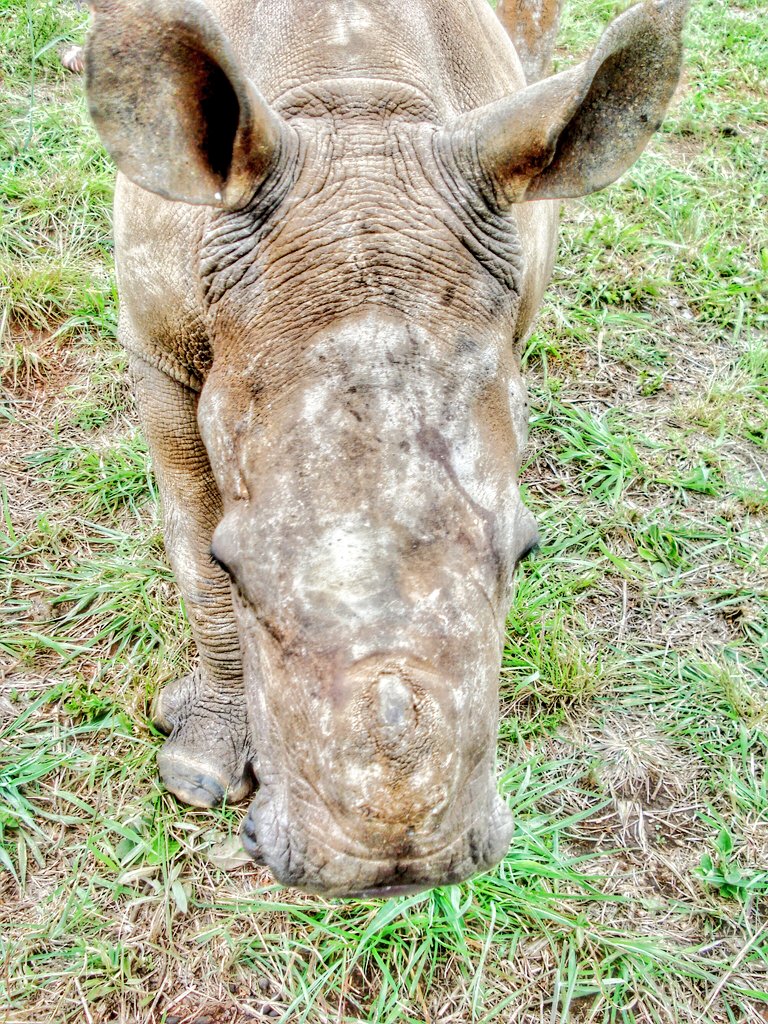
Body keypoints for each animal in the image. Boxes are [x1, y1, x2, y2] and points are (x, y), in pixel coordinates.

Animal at [84, 0, 686, 896]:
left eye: (528, 552)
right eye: (239, 568)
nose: (394, 867)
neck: (356, 117)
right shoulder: (155, 341)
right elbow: (190, 546)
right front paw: (198, 774)